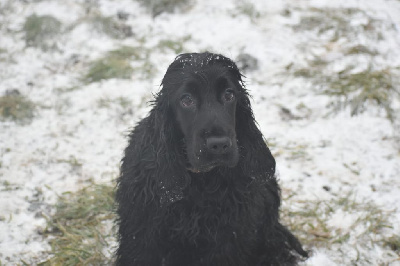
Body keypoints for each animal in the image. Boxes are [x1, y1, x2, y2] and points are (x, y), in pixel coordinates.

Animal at [115, 53, 306, 264]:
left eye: (229, 95)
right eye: (187, 99)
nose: (219, 145)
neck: (201, 180)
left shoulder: (230, 238)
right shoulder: (142, 233)